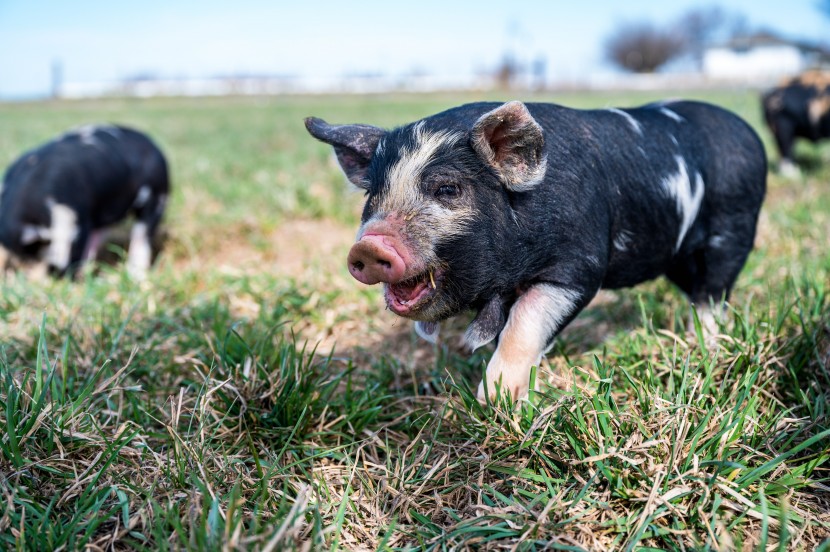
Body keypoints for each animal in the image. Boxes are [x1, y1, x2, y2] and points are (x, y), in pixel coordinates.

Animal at [0, 126, 171, 278]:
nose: (53, 272)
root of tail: (151, 142)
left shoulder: (73, 218)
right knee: (100, 233)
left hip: (158, 195)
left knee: (143, 233)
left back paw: (136, 275)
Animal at [306, 100, 768, 402]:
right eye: (372, 195)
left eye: (448, 189)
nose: (368, 245)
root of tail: (749, 132)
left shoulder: (579, 265)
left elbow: (525, 322)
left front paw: (495, 400)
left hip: (736, 224)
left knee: (714, 291)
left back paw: (705, 344)